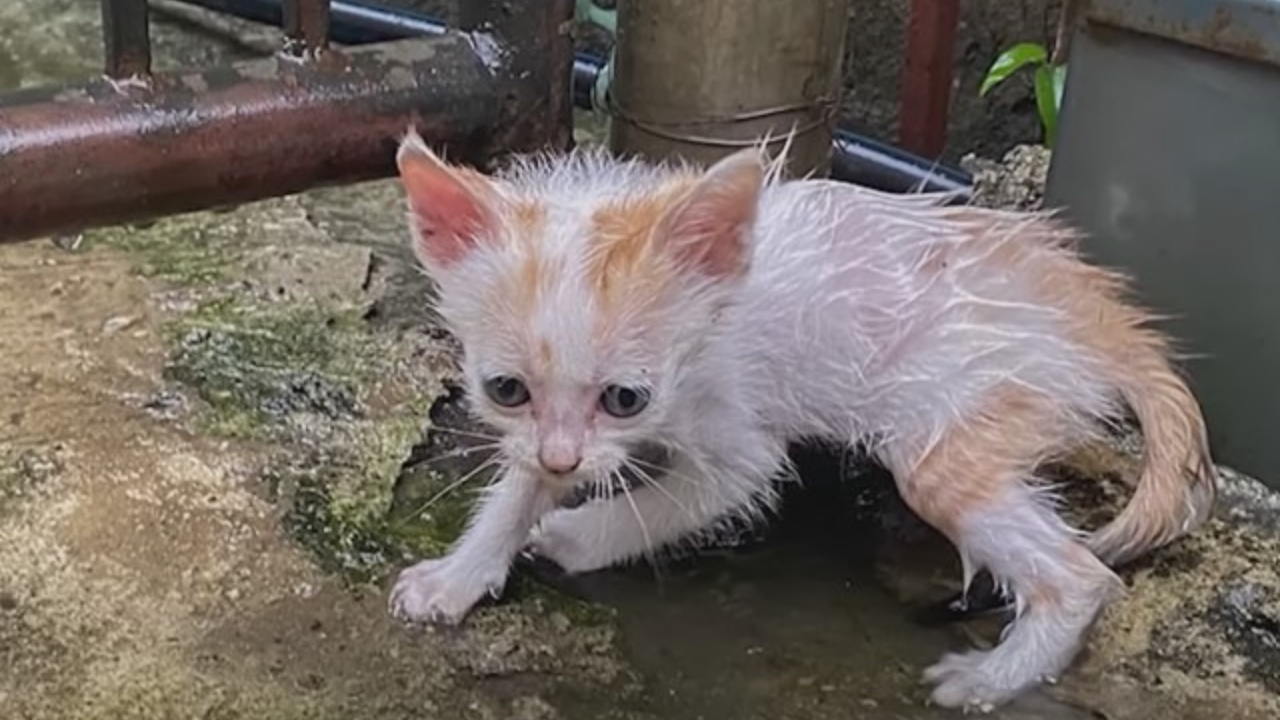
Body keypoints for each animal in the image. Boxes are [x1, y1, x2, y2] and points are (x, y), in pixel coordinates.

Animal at [384, 127, 1213, 707]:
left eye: (626, 398)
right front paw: (460, 577)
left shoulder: (738, 448)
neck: (709, 319)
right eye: (505, 389)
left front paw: (580, 536)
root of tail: (1090, 307)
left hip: (944, 441)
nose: (565, 463)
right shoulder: (541, 436)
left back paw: (992, 679)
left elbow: (672, 503)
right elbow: (516, 487)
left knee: (1080, 578)